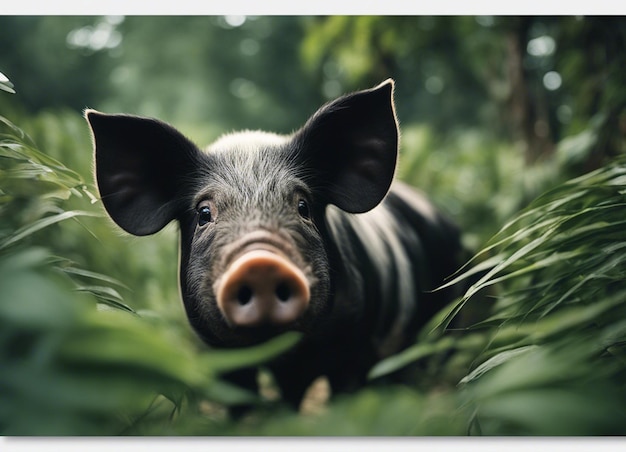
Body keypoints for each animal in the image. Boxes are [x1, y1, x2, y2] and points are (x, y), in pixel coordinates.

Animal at [84, 78, 464, 410]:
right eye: (204, 212)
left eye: (303, 206)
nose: (260, 264)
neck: (281, 356)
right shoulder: (217, 354)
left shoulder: (353, 346)